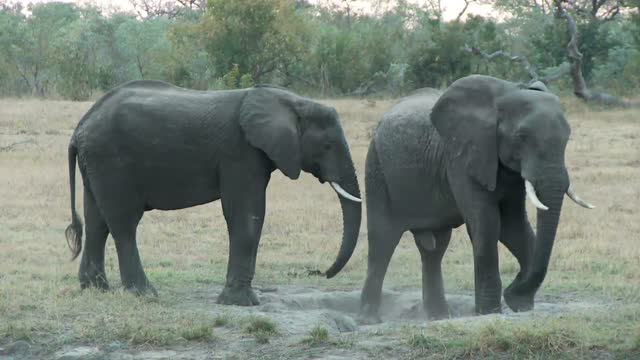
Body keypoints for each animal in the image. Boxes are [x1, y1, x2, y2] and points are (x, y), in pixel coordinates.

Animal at [67, 80, 362, 306]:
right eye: (327, 145)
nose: (320, 272)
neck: (291, 101)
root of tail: (80, 126)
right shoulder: (239, 153)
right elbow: (246, 214)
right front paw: (241, 303)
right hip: (111, 160)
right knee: (124, 223)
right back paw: (145, 294)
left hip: (96, 162)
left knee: (96, 221)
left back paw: (95, 289)